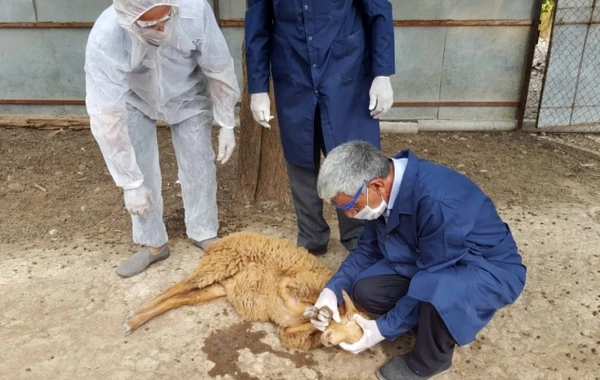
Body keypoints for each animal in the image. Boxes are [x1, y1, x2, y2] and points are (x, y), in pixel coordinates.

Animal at [124, 229, 368, 350]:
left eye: (352, 342)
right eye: (348, 320)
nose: (328, 340)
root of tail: (222, 240)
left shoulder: (289, 330)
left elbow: (293, 330)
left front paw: (315, 316)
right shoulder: (298, 282)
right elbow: (287, 287)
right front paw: (316, 312)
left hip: (218, 286)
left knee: (181, 298)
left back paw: (135, 320)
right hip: (220, 263)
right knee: (179, 285)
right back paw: (135, 313)